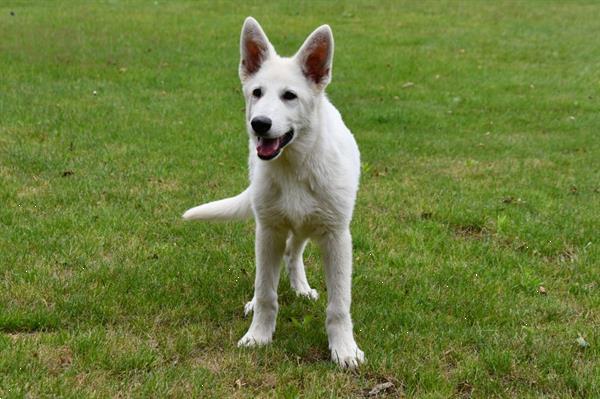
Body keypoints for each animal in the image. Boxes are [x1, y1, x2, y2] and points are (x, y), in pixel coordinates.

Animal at [183, 18, 364, 368]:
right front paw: (259, 336)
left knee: (294, 252)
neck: (295, 167)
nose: (259, 124)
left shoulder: (336, 236)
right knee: (276, 265)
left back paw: (302, 288)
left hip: (308, 225)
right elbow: (266, 290)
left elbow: (339, 304)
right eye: (257, 92)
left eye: (289, 96)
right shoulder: (268, 231)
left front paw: (344, 349)